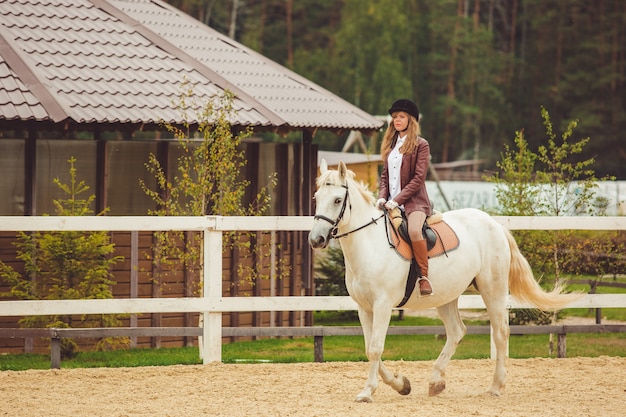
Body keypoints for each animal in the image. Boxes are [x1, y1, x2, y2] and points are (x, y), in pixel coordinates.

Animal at [308, 159, 580, 400]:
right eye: (316, 198)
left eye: (337, 200)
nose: (316, 240)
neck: (370, 245)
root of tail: (494, 224)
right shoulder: (364, 308)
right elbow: (368, 348)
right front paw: (401, 385)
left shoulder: (383, 305)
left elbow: (375, 348)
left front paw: (367, 392)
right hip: (446, 296)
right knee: (457, 331)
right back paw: (436, 381)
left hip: (493, 290)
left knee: (501, 332)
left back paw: (495, 386)